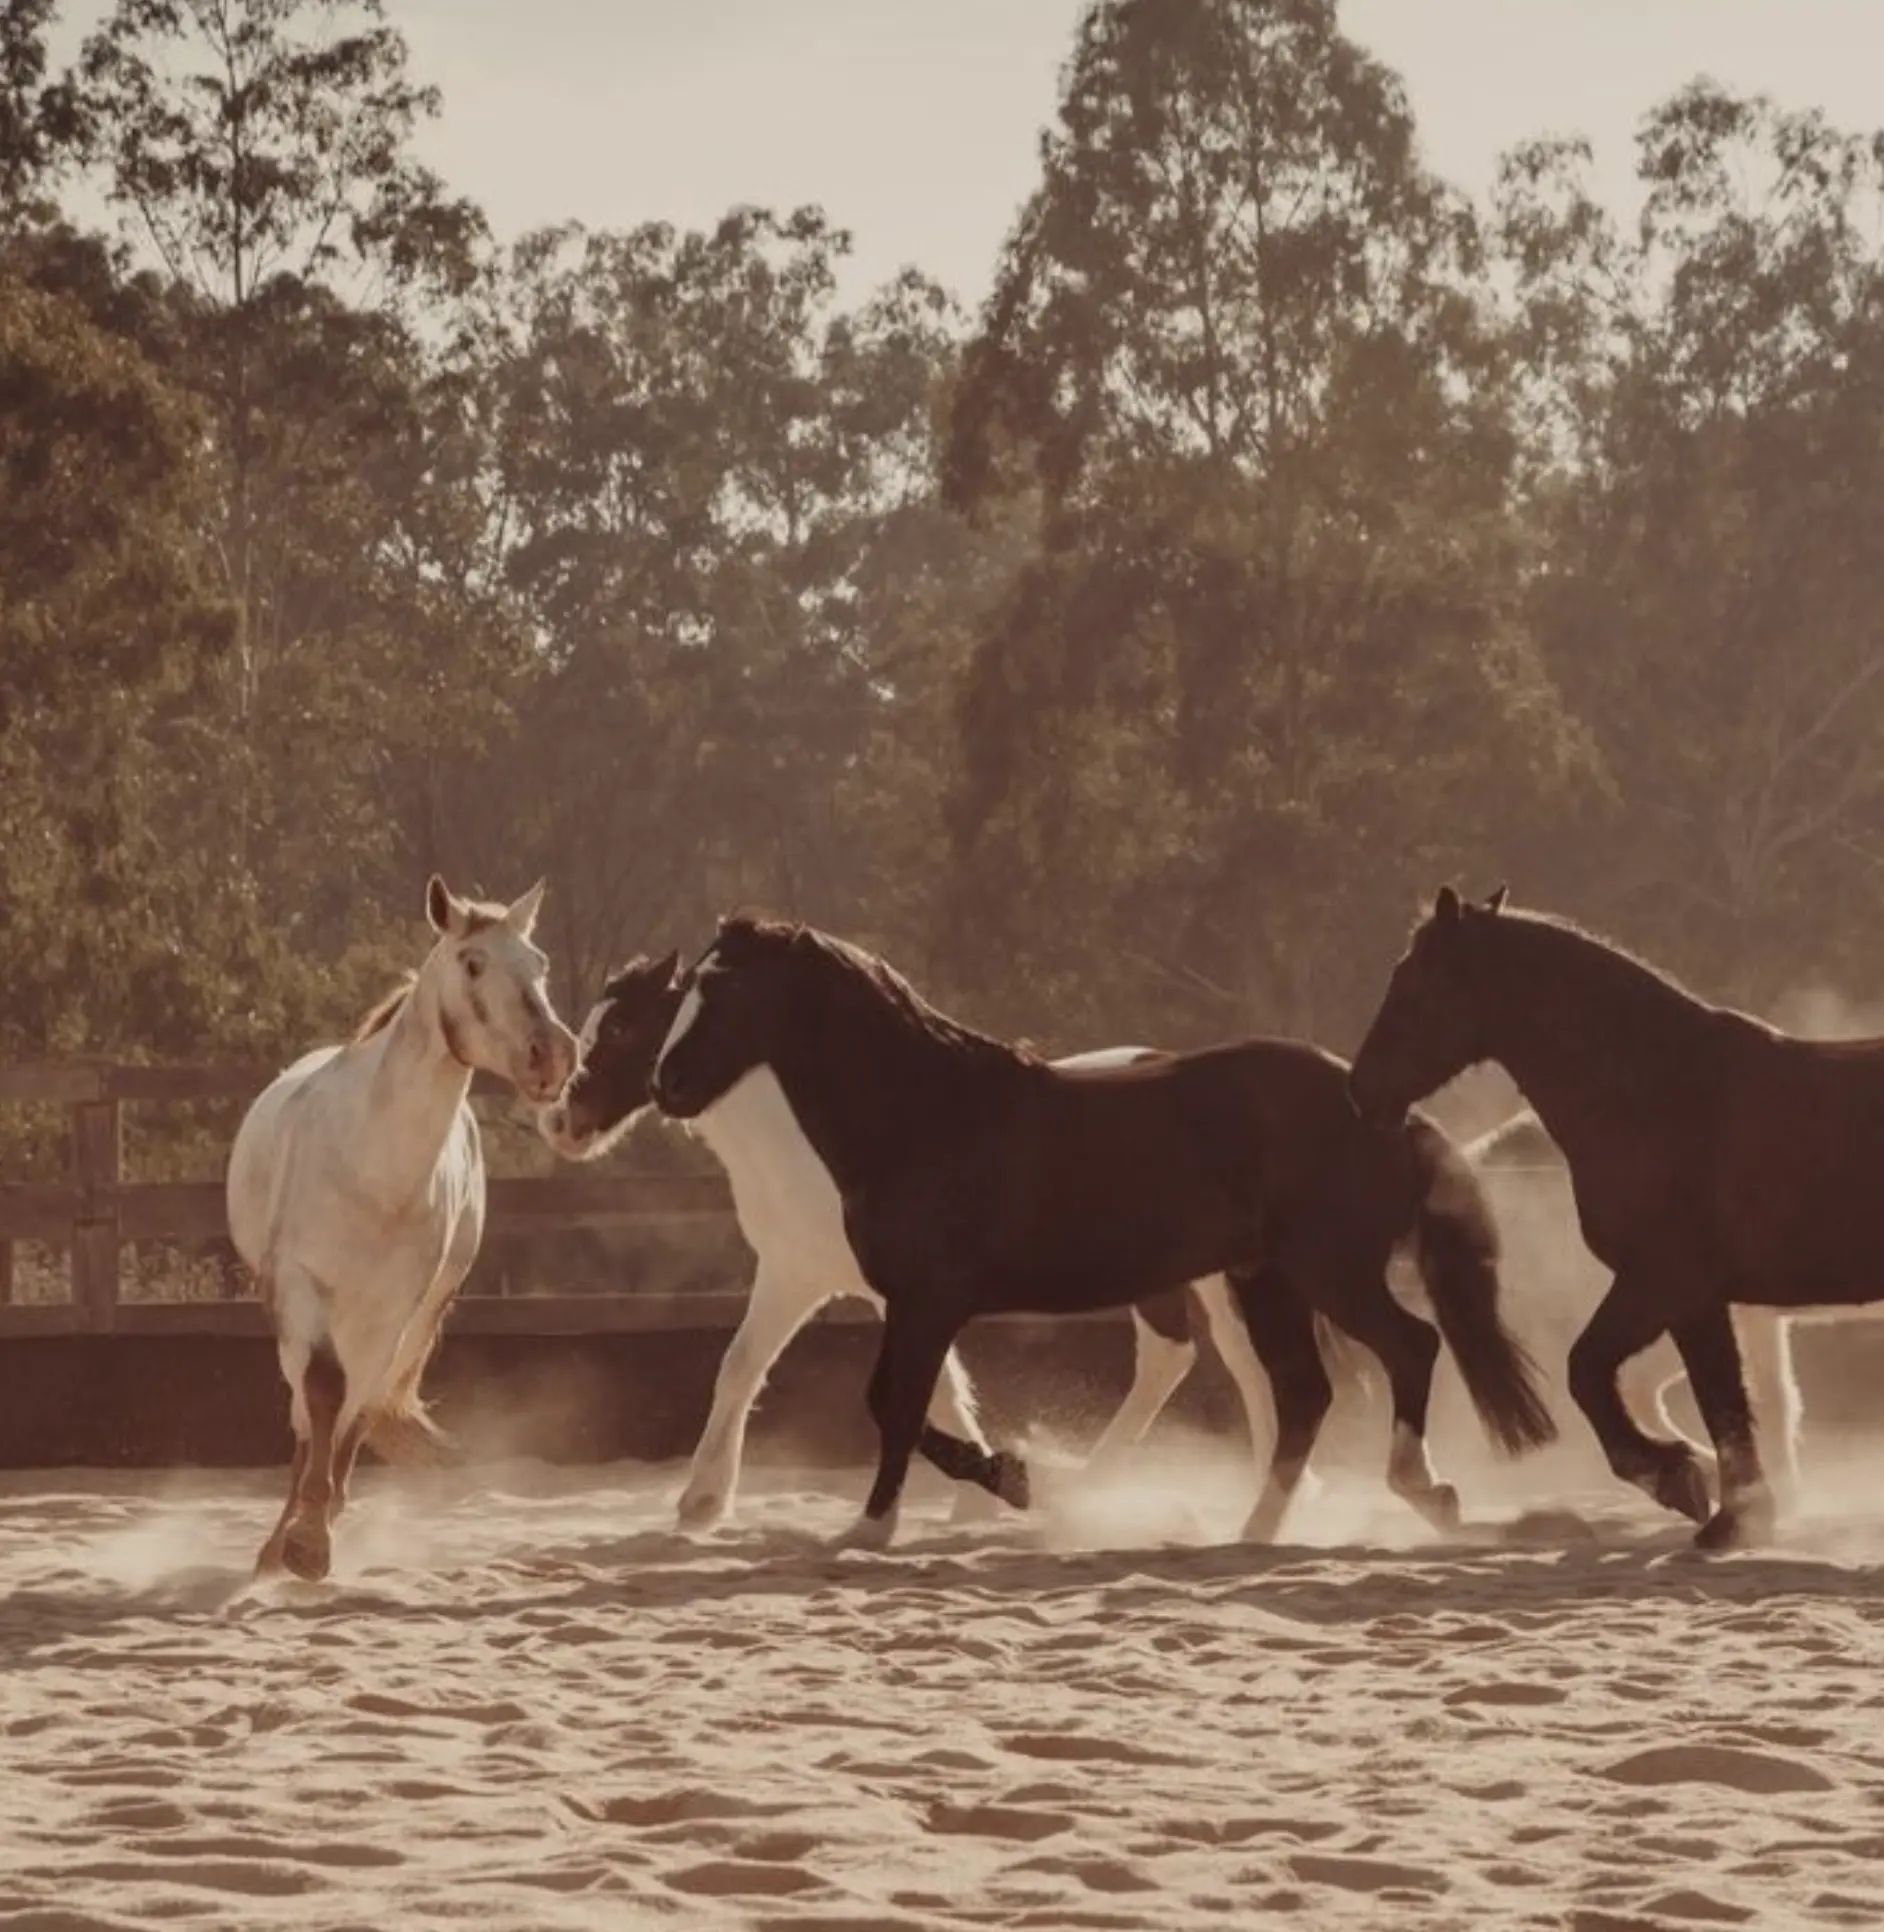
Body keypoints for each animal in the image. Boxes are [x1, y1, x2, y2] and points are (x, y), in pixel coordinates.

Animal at [226, 884, 575, 1576]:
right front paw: (298, 1540)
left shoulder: (397, 1310)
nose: (551, 1055)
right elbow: (321, 1391)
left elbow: (356, 1405)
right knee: (308, 1409)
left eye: (540, 962)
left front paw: (315, 1533)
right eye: (472, 962)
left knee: (359, 1405)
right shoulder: (298, 1287)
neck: (372, 1167)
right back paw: (276, 1543)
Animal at [649, 911, 1561, 1545]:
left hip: (1326, 1273)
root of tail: (1375, 1106)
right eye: (684, 991)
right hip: (1266, 1282)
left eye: (725, 990)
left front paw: (895, 1518)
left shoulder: (925, 1300)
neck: (927, 1114)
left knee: (1408, 1348)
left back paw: (1421, 1491)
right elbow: (897, 1401)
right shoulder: (904, 1301)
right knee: (1305, 1392)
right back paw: (1257, 1527)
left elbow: (895, 1404)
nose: (667, 1085)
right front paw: (1005, 1482)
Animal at [1352, 884, 1884, 1545]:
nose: (1360, 1089)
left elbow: (1599, 1373)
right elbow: (1713, 1397)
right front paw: (1725, 1503)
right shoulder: (1692, 1299)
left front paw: (1692, 1488)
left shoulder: (1666, 1282)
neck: (1659, 1090)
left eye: (1414, 987)